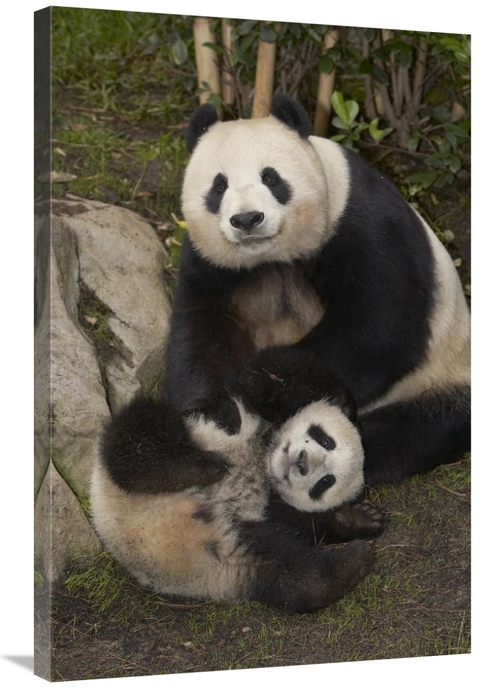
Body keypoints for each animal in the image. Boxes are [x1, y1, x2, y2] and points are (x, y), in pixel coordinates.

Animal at [91, 384, 386, 613]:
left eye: (326, 482)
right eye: (325, 440)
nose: (301, 463)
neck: (264, 461)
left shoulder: (271, 507)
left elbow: (301, 524)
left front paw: (359, 518)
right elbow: (223, 405)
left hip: (235, 545)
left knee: (287, 573)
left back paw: (354, 560)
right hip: (121, 484)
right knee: (138, 433)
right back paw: (202, 467)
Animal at [161, 94, 471, 486]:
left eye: (271, 177)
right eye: (219, 186)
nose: (247, 220)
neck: (271, 256)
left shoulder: (362, 223)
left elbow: (377, 330)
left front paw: (261, 381)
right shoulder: (209, 261)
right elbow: (200, 329)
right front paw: (213, 417)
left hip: (442, 372)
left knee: (418, 427)